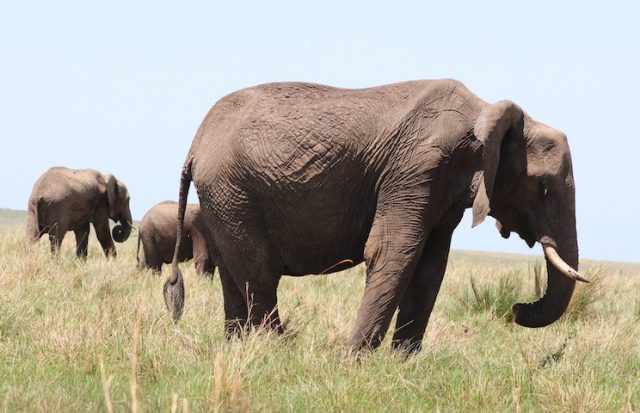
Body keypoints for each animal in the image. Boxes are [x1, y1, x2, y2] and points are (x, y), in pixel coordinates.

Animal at [162, 79, 588, 354]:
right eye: (543, 188)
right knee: (259, 274)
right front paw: (353, 363)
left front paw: (404, 365)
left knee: (233, 277)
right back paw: (277, 352)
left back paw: (236, 351)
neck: (483, 113)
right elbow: (393, 254)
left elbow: (430, 267)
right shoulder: (414, 169)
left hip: (224, 200)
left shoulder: (440, 190)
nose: (516, 309)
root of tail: (195, 144)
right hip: (233, 193)